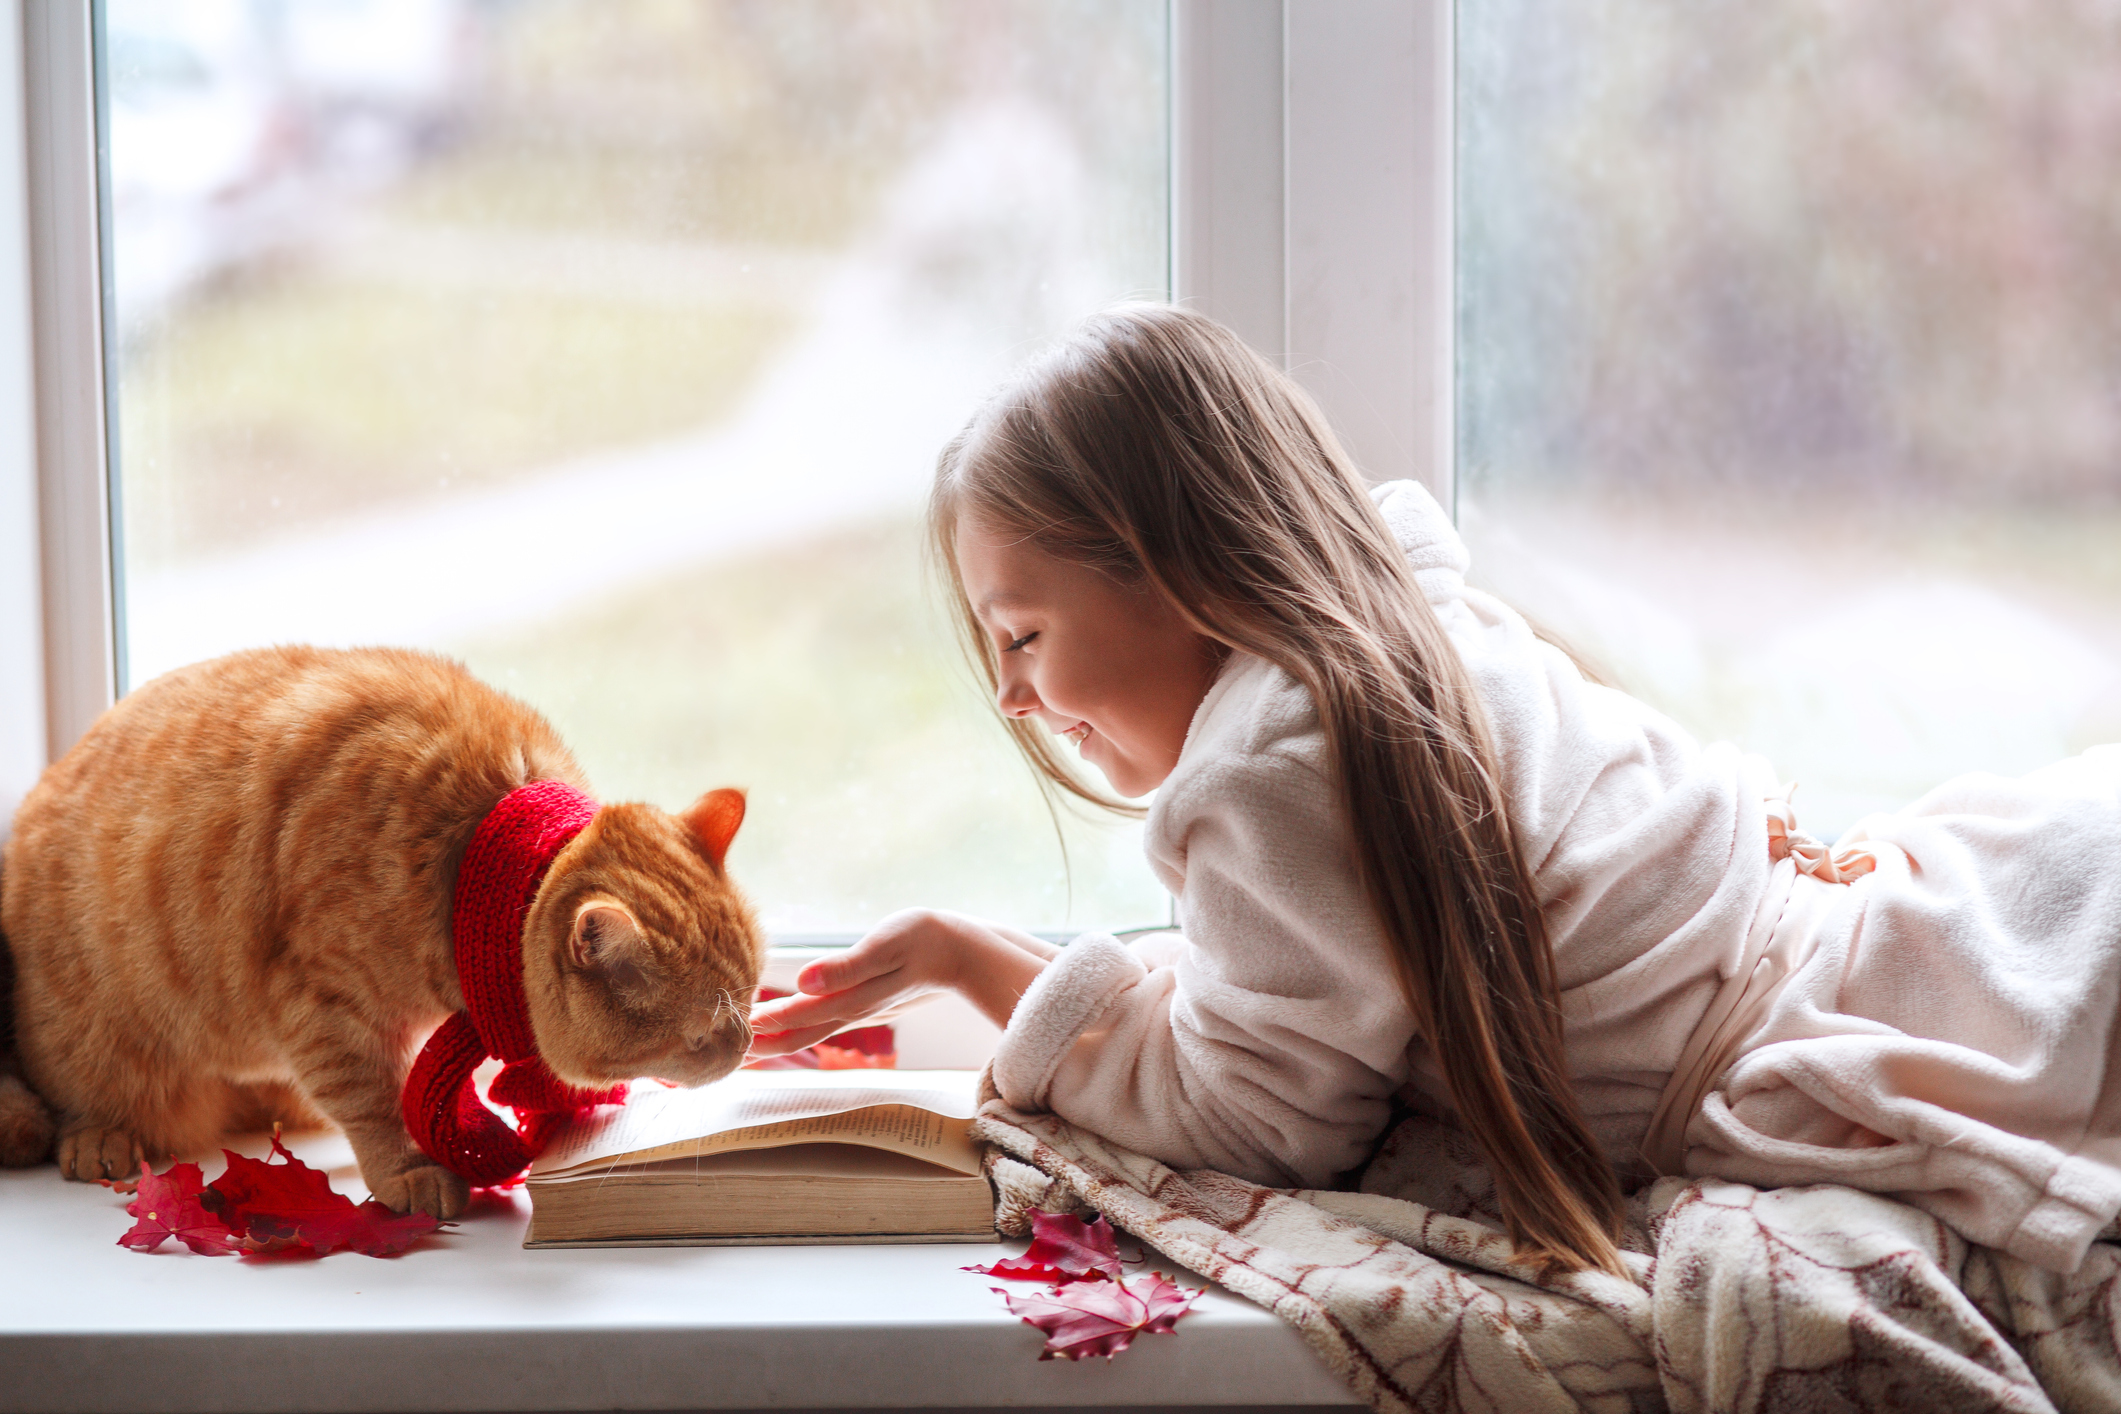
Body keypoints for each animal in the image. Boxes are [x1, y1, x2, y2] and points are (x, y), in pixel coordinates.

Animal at [0, 648, 763, 1221]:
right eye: (700, 1036)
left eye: (753, 995)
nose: (745, 1045)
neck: (469, 859)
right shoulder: (324, 1009)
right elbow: (372, 1100)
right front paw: (408, 1169)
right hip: (93, 1041)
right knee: (74, 1098)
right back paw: (99, 1136)